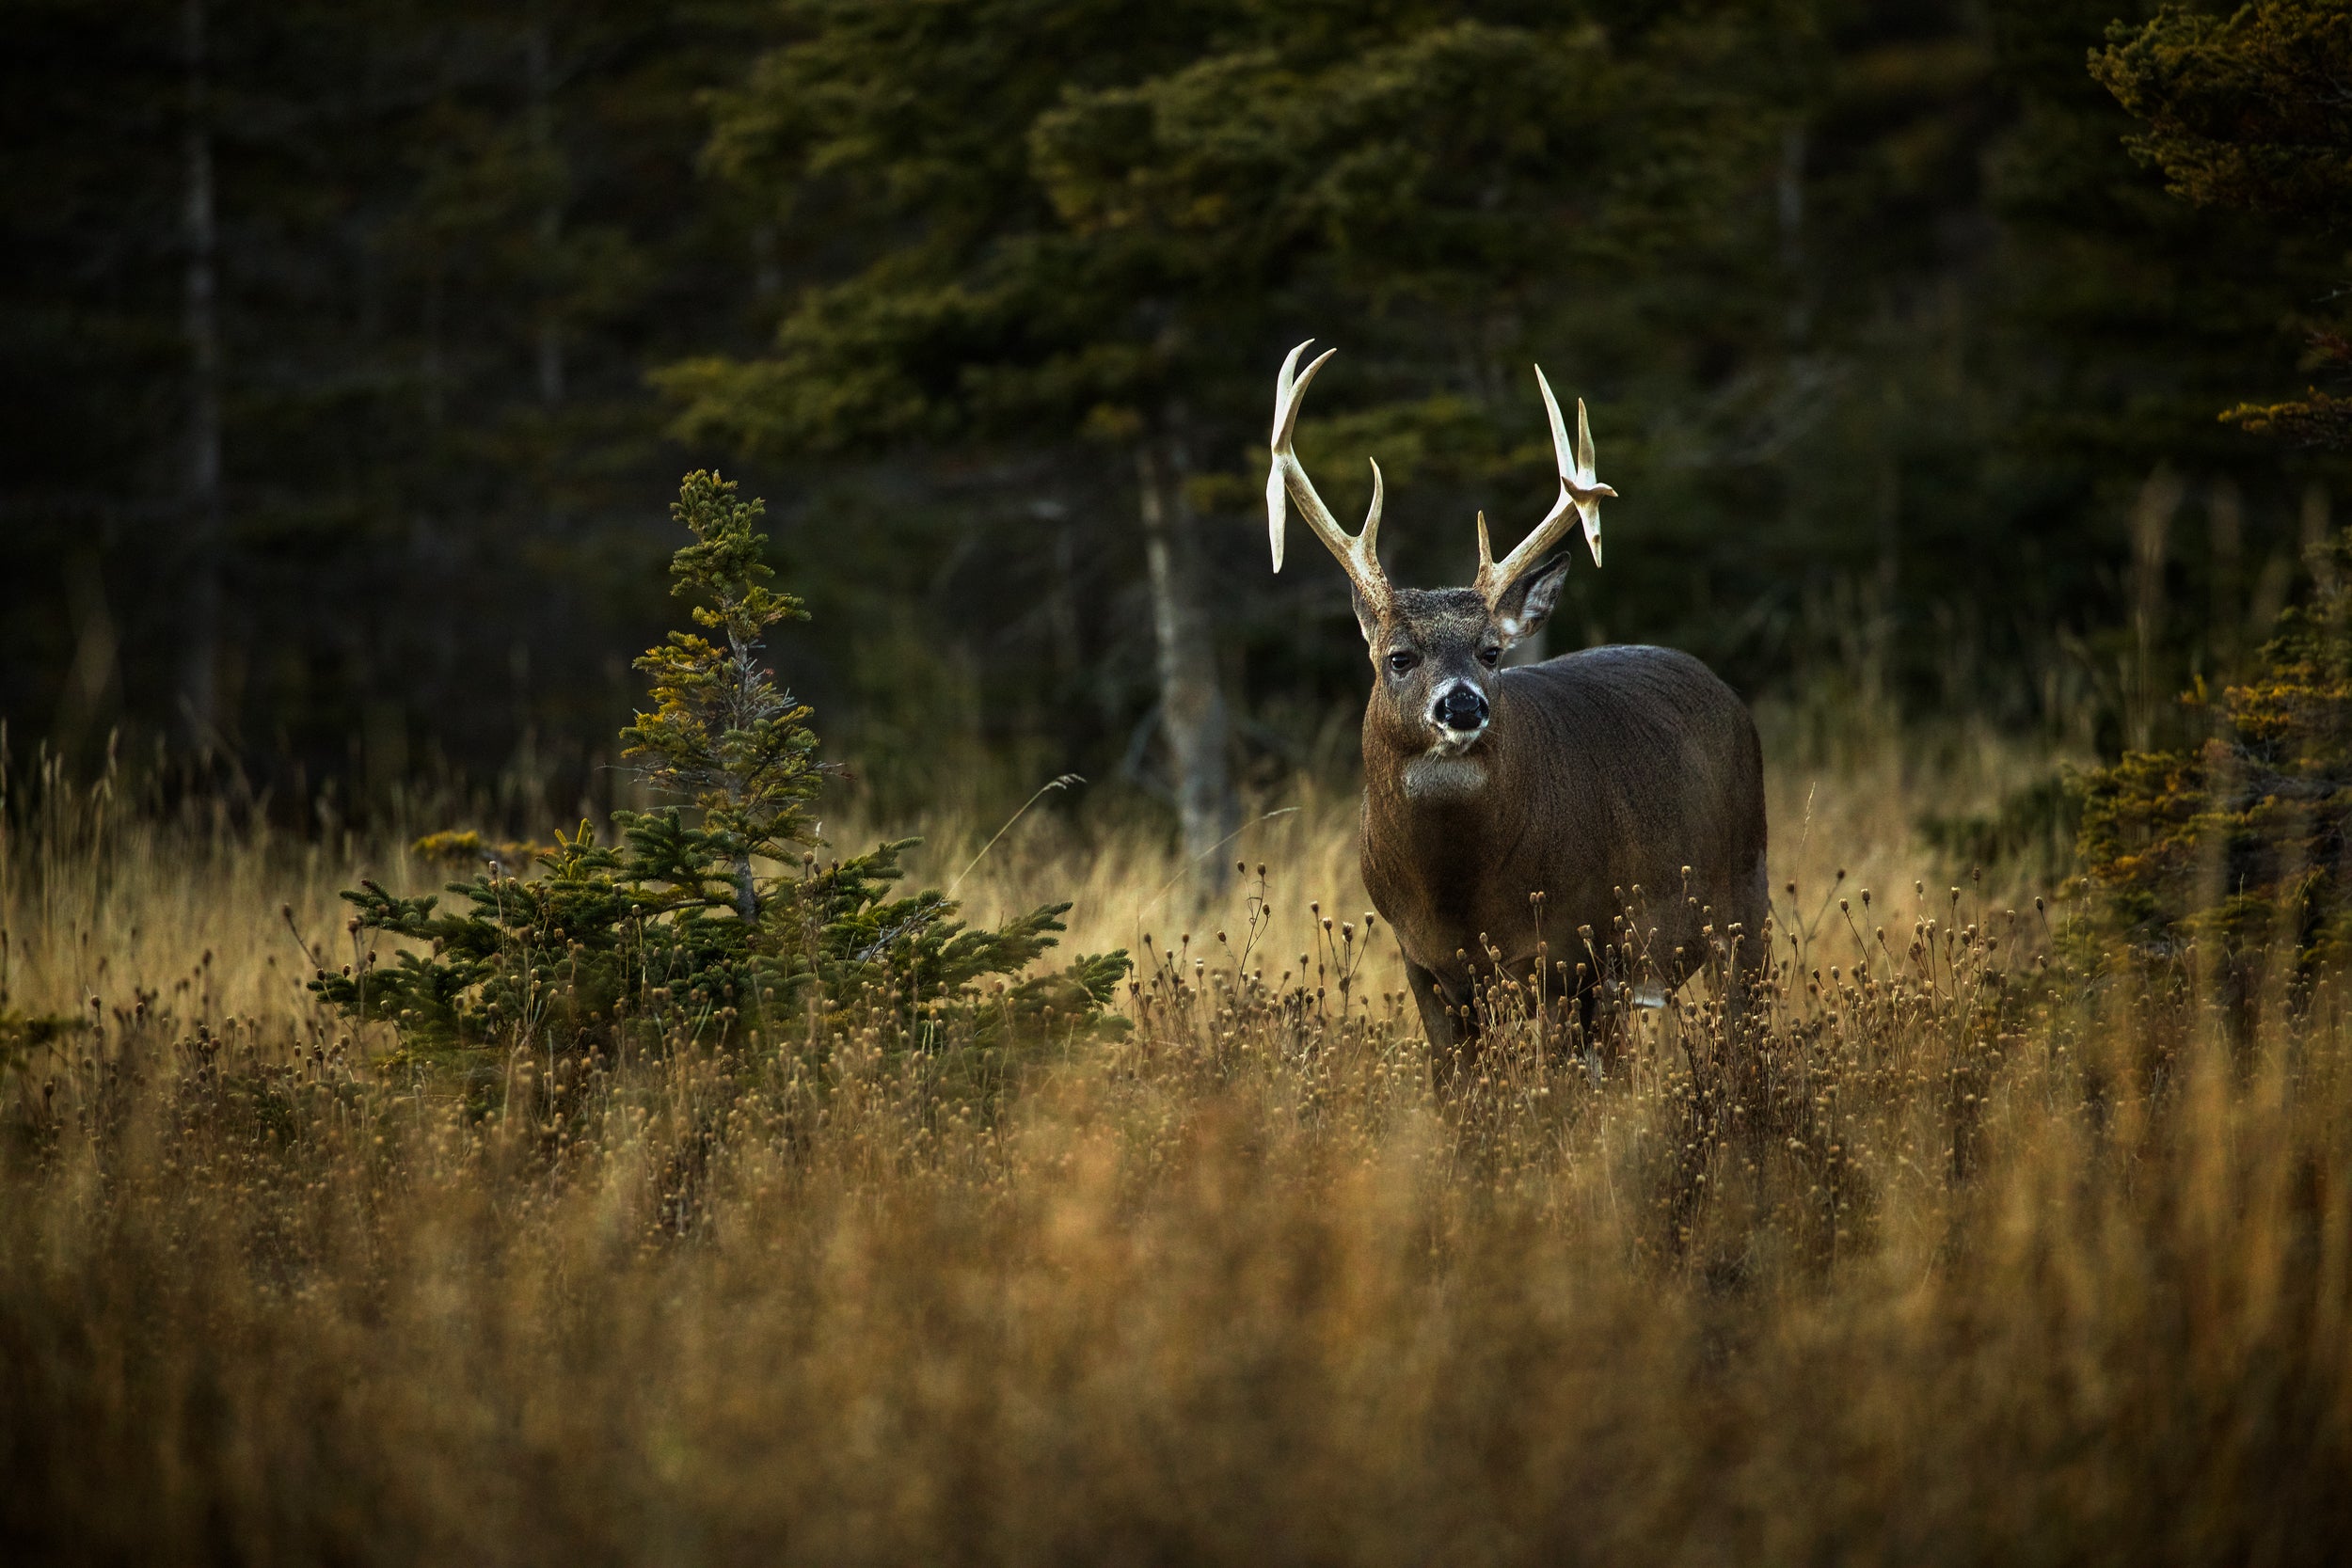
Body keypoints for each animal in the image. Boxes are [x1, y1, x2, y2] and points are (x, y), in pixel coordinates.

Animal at [1266, 341, 1768, 1072]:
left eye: (1490, 652)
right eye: (1399, 656)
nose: (1462, 706)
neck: (1457, 896)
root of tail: (1724, 690)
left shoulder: (1565, 951)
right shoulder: (1423, 965)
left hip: (1743, 897)